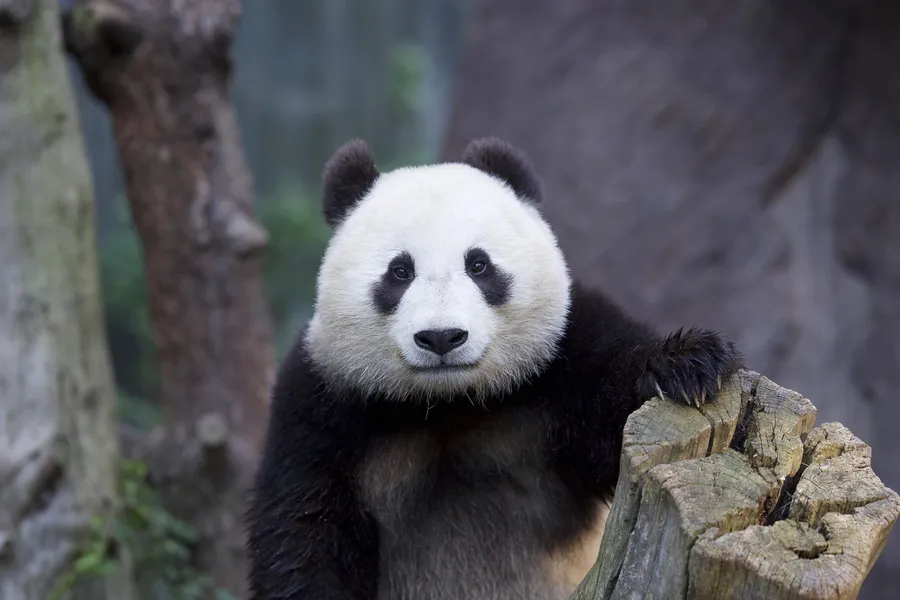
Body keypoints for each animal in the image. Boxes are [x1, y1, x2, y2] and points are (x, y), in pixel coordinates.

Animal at [245, 137, 743, 600]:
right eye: (400, 271)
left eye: (479, 264)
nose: (441, 337)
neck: (447, 403)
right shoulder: (321, 405)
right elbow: (304, 530)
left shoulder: (561, 359)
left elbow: (613, 413)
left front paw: (689, 364)